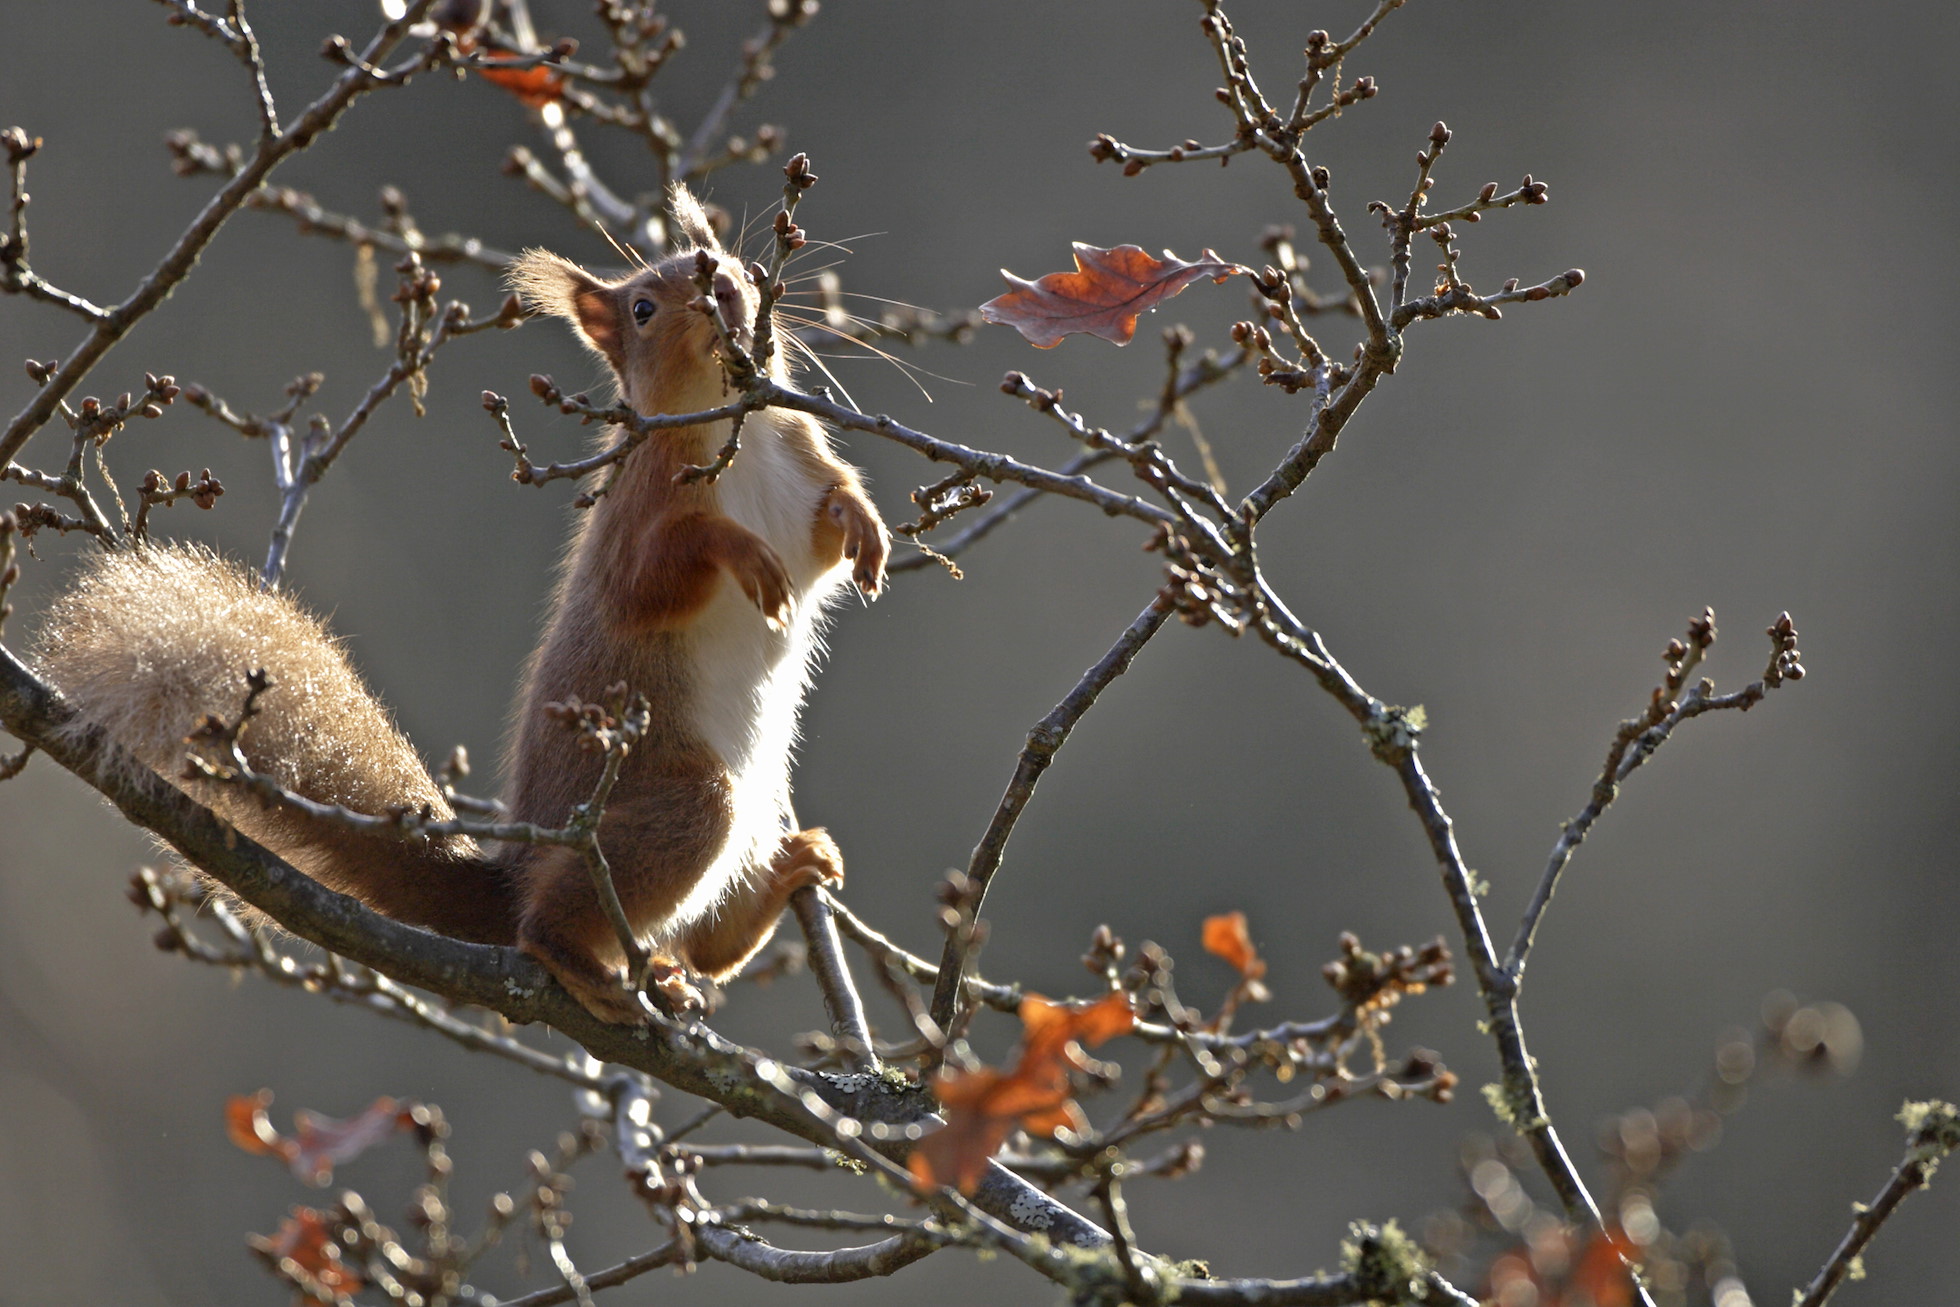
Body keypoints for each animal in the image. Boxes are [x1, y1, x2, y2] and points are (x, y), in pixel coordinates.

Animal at [34, 186, 893, 1018]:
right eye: (644, 307)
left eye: (739, 266)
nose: (724, 286)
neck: (730, 423)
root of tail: (513, 875)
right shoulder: (640, 508)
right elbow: (655, 576)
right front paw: (743, 552)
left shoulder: (802, 462)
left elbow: (827, 528)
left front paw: (867, 527)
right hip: (675, 803)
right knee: (556, 919)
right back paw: (588, 967)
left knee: (710, 944)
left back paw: (785, 875)